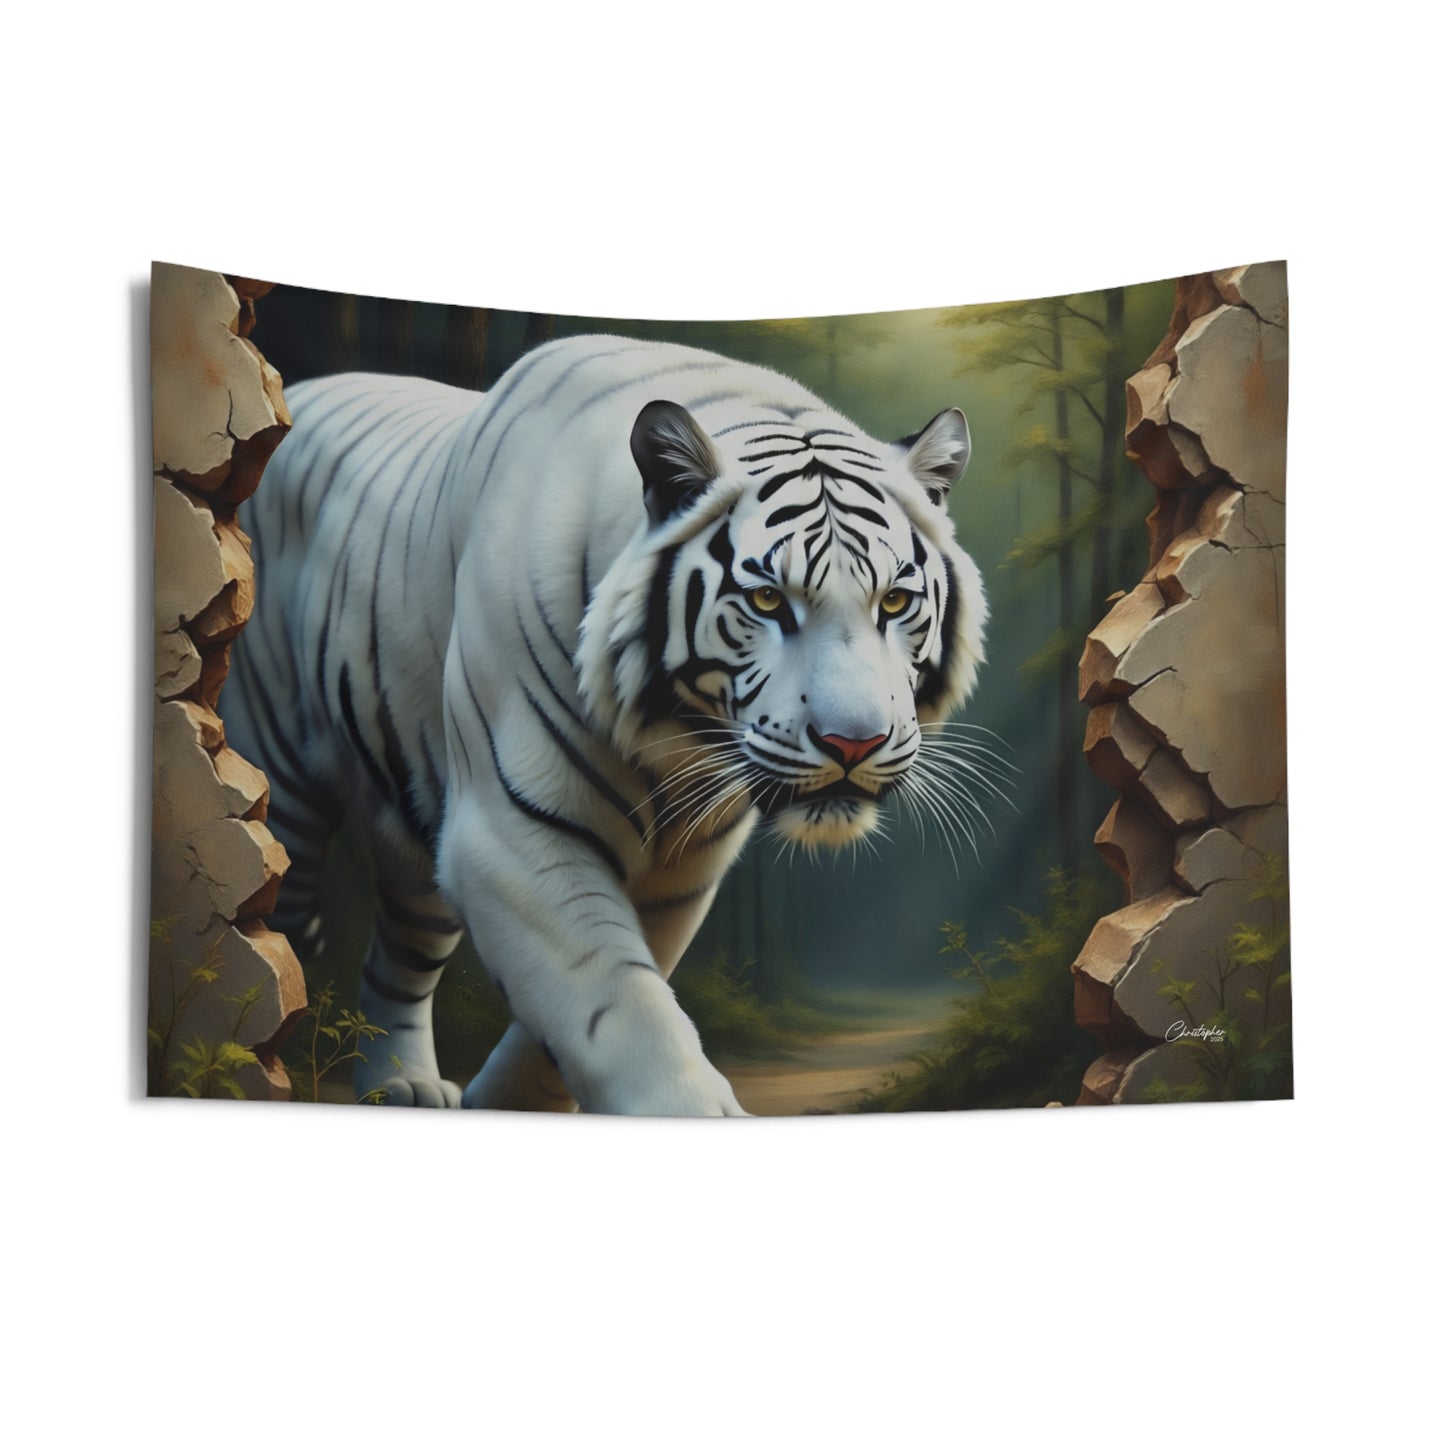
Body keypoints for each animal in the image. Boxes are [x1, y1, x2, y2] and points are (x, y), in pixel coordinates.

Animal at [220, 334, 987, 1115]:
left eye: (893, 602)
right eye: (769, 600)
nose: (852, 744)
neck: (674, 741)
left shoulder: (681, 867)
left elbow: (584, 1014)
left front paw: (502, 1103)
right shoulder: (509, 832)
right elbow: (613, 998)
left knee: (397, 957)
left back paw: (401, 1082)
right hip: (280, 782)